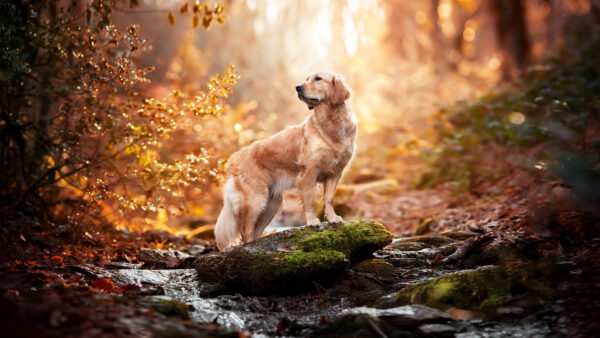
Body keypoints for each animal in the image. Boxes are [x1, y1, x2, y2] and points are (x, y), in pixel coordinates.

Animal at [216, 71, 356, 250]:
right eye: (307, 79)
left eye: (318, 78)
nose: (298, 87)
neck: (331, 123)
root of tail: (233, 159)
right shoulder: (308, 172)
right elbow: (309, 200)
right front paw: (312, 221)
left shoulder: (336, 172)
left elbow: (329, 198)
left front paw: (332, 218)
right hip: (254, 201)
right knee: (245, 230)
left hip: (271, 205)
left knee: (255, 230)